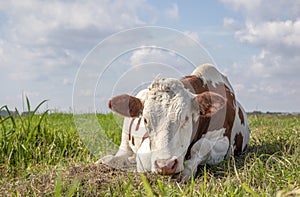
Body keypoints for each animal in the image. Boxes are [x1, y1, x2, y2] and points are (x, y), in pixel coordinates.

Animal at [96, 63, 251, 180]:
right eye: (145, 120)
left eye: (186, 118)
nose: (165, 165)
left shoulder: (224, 142)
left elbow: (201, 146)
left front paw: (187, 170)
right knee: (122, 152)